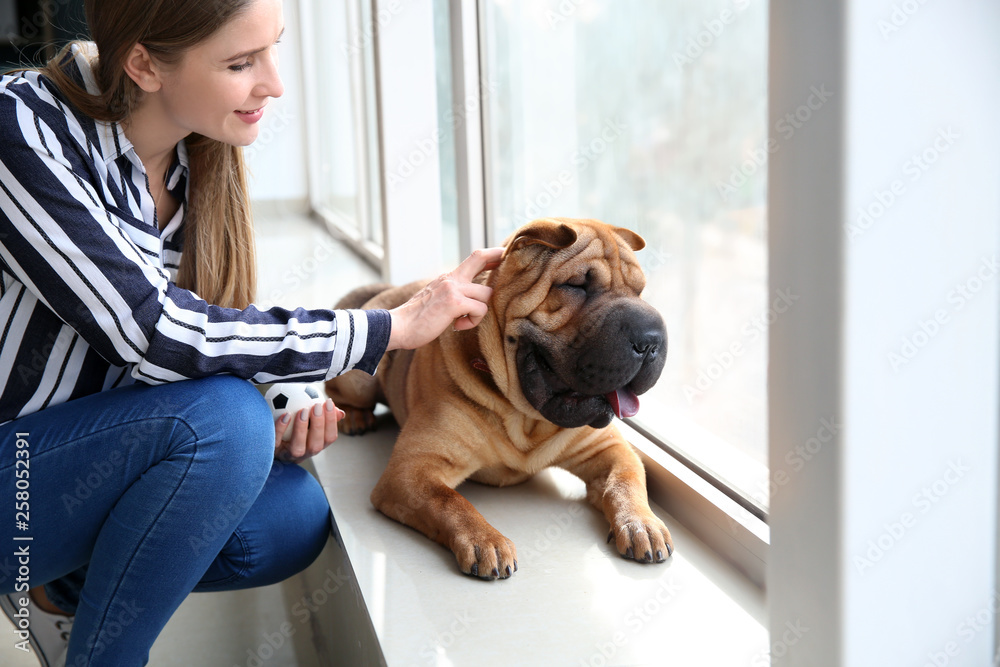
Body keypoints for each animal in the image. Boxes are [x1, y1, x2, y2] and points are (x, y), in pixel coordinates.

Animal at [328, 218, 672, 580]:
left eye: (640, 291)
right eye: (576, 285)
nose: (651, 339)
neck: (525, 418)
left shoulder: (609, 450)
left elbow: (626, 481)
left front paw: (642, 524)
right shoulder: (412, 470)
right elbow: (449, 501)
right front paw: (486, 540)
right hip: (361, 377)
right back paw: (353, 417)